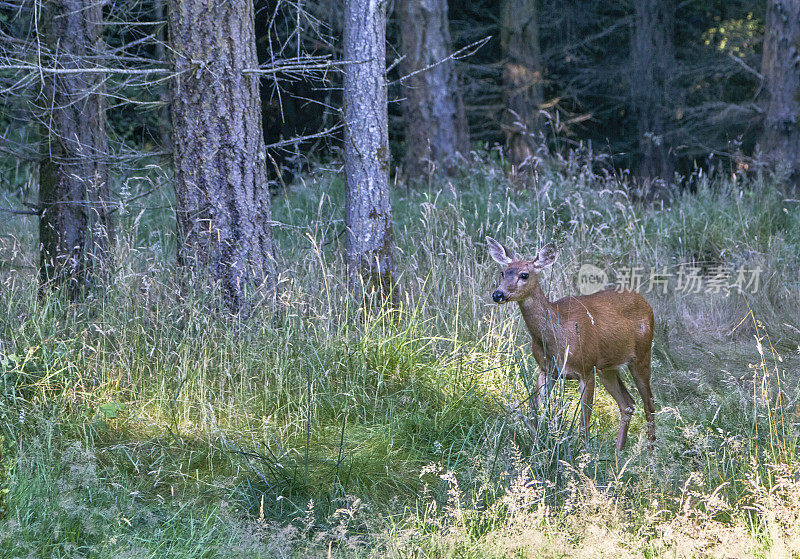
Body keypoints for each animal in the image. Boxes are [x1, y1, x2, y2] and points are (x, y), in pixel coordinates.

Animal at [488, 236, 656, 450]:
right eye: (503, 272)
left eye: (524, 275)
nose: (498, 294)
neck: (557, 339)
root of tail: (645, 302)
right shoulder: (546, 370)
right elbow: (534, 412)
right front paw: (536, 449)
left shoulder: (586, 368)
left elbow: (584, 422)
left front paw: (584, 455)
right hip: (607, 368)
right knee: (627, 403)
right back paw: (618, 452)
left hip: (642, 354)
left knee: (649, 403)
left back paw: (650, 451)